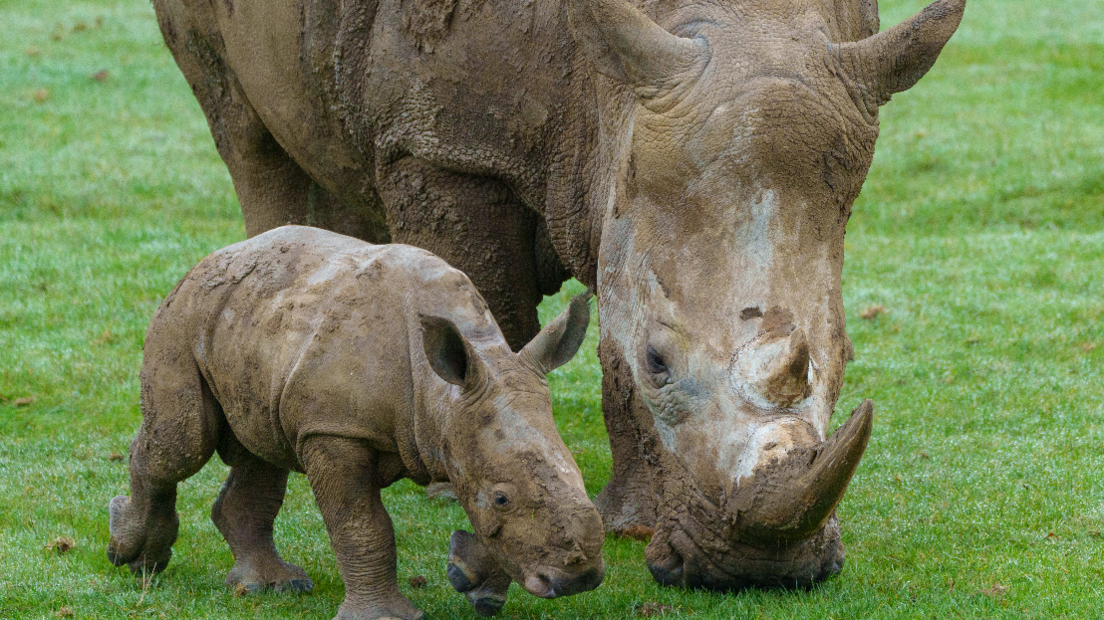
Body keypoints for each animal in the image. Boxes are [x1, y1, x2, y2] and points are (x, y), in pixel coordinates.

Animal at [107, 226, 604, 617]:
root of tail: (211, 258)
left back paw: (274, 587)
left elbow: (478, 504)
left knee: (261, 448)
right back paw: (135, 559)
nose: (579, 579)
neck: (443, 395)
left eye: (581, 476)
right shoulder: (334, 429)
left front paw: (472, 583)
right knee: (183, 445)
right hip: (183, 317)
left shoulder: (462, 424)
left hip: (254, 324)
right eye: (503, 498)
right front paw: (387, 617)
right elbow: (361, 524)